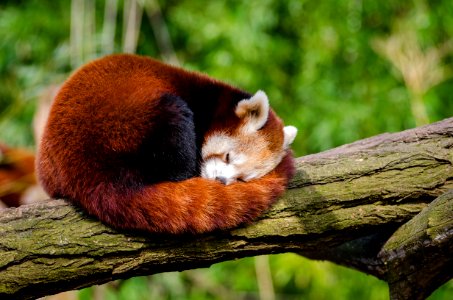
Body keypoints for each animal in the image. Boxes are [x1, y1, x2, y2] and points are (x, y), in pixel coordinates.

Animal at [36, 54, 296, 233]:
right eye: (228, 157)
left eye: (242, 179)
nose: (221, 181)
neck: (214, 102)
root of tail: (88, 174)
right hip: (126, 123)